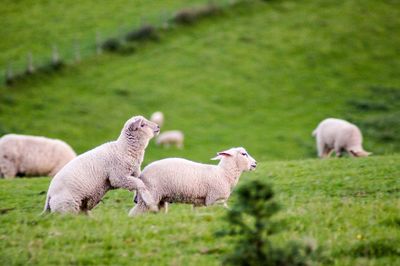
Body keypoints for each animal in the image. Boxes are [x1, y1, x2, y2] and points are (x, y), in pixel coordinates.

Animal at [130, 147, 258, 217]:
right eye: (243, 154)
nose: (255, 164)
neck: (223, 174)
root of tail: (141, 175)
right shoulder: (214, 199)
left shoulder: (201, 203)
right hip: (150, 195)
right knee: (135, 213)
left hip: (159, 199)